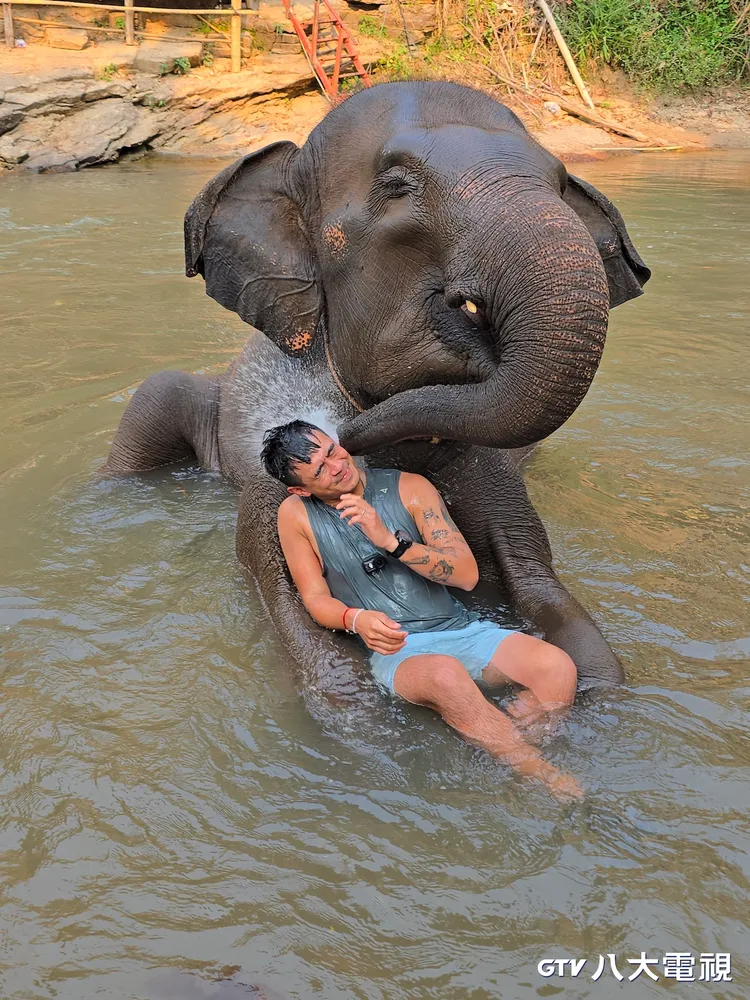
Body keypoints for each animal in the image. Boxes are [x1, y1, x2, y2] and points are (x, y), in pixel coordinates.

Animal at [105, 80, 650, 709]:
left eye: (562, 184)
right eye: (395, 184)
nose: (331, 437)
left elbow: (543, 590)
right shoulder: (268, 501)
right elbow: (313, 637)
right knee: (155, 398)